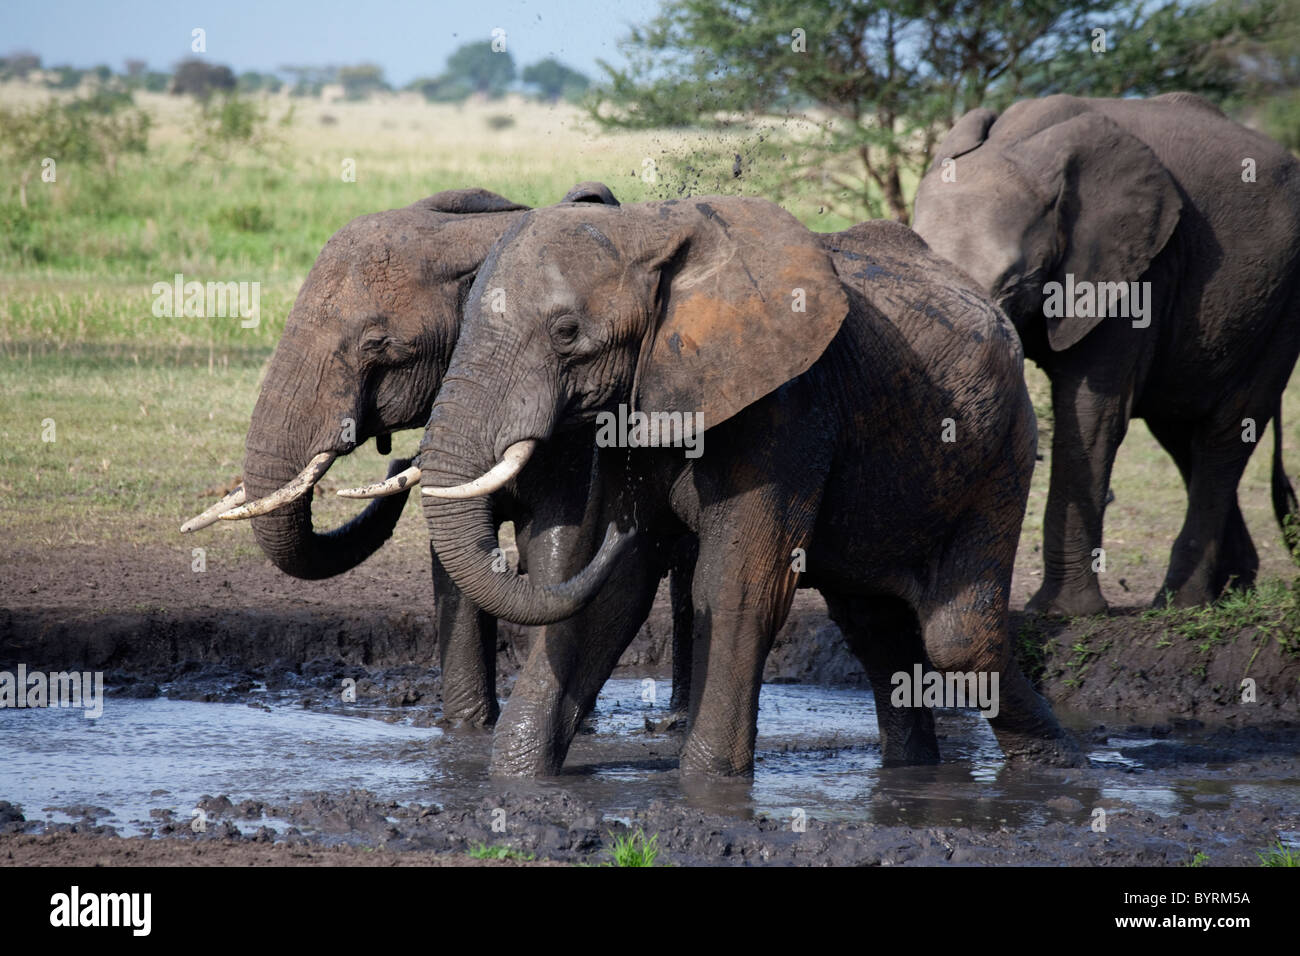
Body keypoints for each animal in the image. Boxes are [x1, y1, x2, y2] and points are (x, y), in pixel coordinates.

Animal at [418, 195, 1086, 780]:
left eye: (566, 332)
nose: (615, 530)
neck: (648, 230)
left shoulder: (786, 408)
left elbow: (736, 588)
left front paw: (709, 790)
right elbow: (616, 594)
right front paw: (519, 782)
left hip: (1003, 446)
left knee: (958, 641)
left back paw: (1059, 770)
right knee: (876, 629)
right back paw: (916, 775)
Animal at [909, 93, 1300, 616]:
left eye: (1012, 284)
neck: (1023, 141)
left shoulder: (1141, 269)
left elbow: (1092, 414)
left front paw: (1059, 613)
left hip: (1284, 304)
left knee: (1227, 431)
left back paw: (1182, 605)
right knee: (1181, 432)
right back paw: (1233, 591)